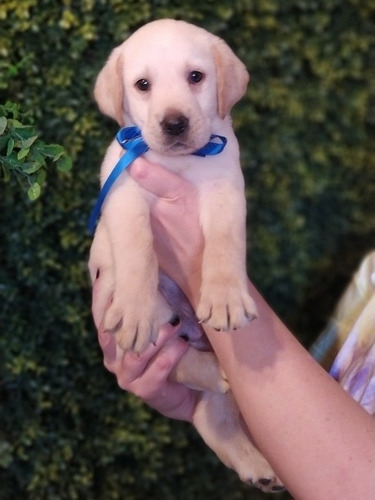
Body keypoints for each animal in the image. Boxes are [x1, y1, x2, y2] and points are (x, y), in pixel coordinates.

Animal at [89, 18, 284, 492]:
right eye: (142, 85)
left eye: (196, 77)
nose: (174, 123)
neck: (179, 163)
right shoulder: (124, 195)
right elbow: (137, 248)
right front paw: (135, 308)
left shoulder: (226, 190)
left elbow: (224, 245)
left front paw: (226, 297)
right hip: (154, 318)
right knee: (173, 361)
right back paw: (211, 371)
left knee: (212, 420)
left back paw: (257, 465)